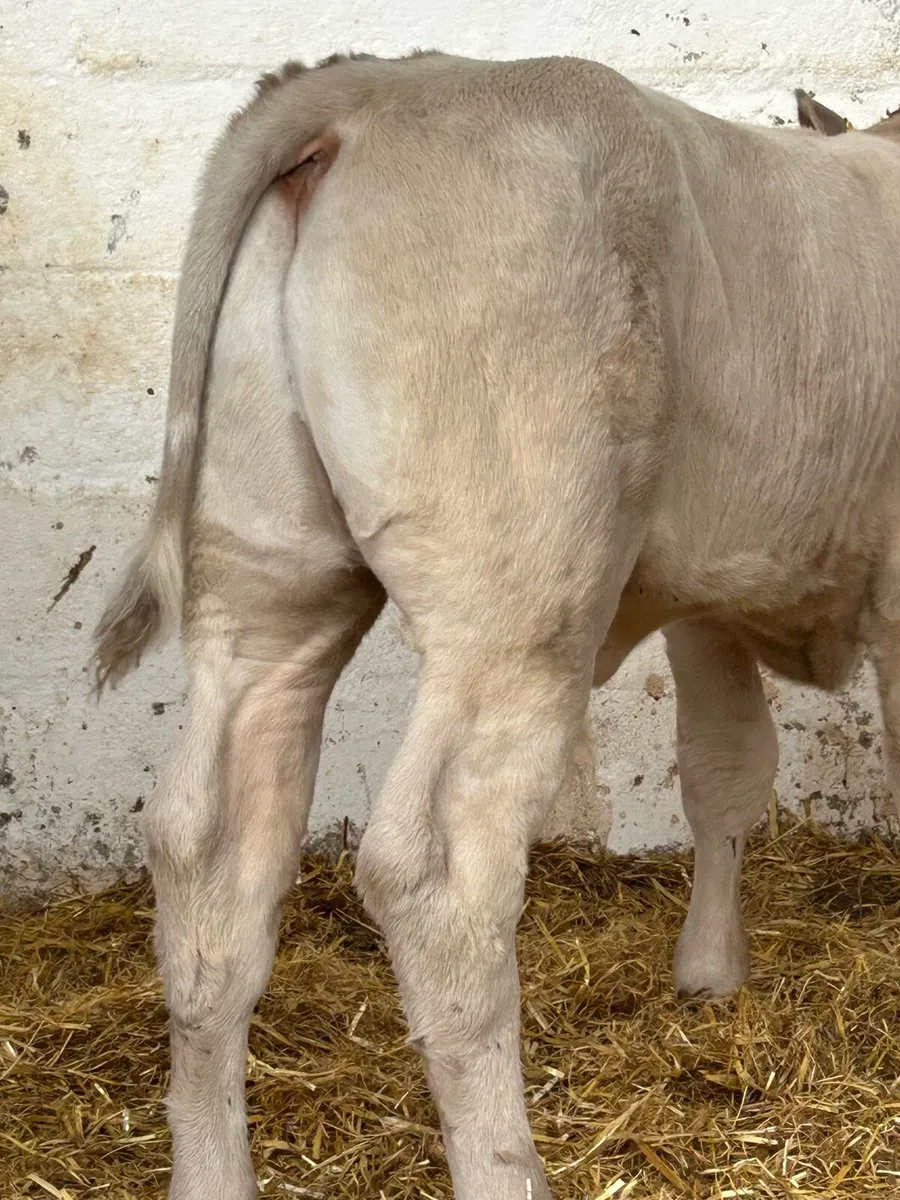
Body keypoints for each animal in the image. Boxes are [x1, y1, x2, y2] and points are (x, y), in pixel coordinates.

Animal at [93, 51, 900, 1200]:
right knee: (437, 879)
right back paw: (508, 1167)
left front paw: (709, 974)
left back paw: (211, 1171)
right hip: (518, 598)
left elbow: (725, 772)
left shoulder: (706, 594)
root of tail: (375, 89)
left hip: (265, 580)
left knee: (211, 846)